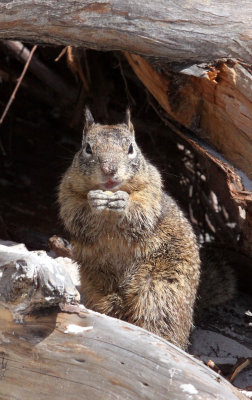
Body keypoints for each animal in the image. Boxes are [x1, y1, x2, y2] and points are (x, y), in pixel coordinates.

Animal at [58, 108, 235, 348]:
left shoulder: (151, 190)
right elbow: (74, 213)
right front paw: (94, 201)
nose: (109, 170)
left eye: (131, 148)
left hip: (159, 290)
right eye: (87, 148)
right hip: (98, 288)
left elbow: (142, 210)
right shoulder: (67, 192)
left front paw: (123, 202)